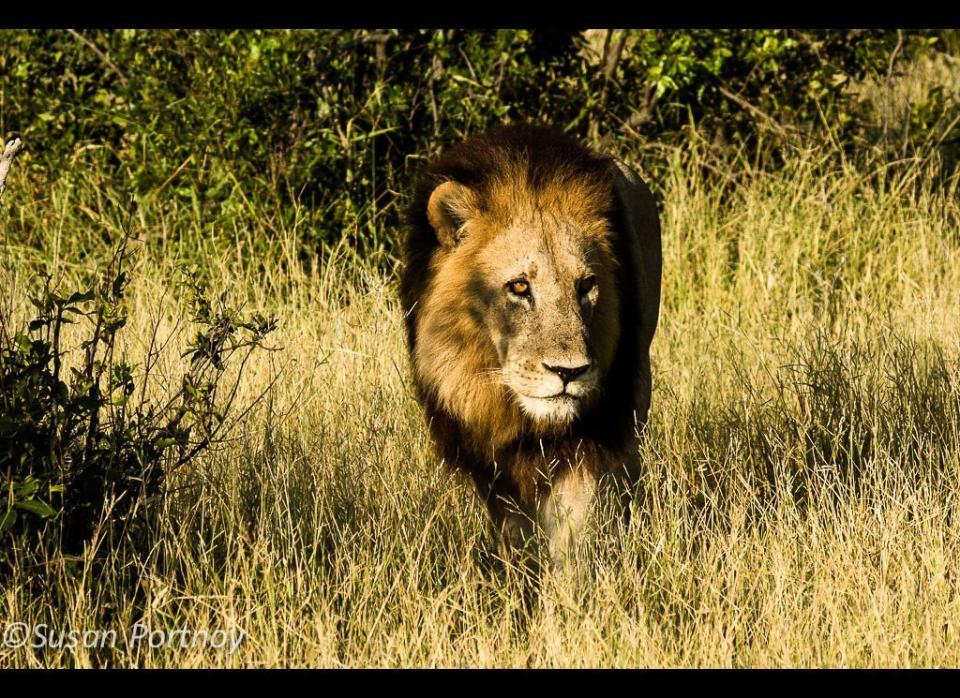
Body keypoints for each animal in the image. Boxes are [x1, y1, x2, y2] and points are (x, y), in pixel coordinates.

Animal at [398, 122, 660, 564]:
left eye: (586, 285)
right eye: (520, 287)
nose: (569, 372)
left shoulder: (587, 437)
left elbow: (575, 532)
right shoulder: (488, 458)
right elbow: (514, 533)